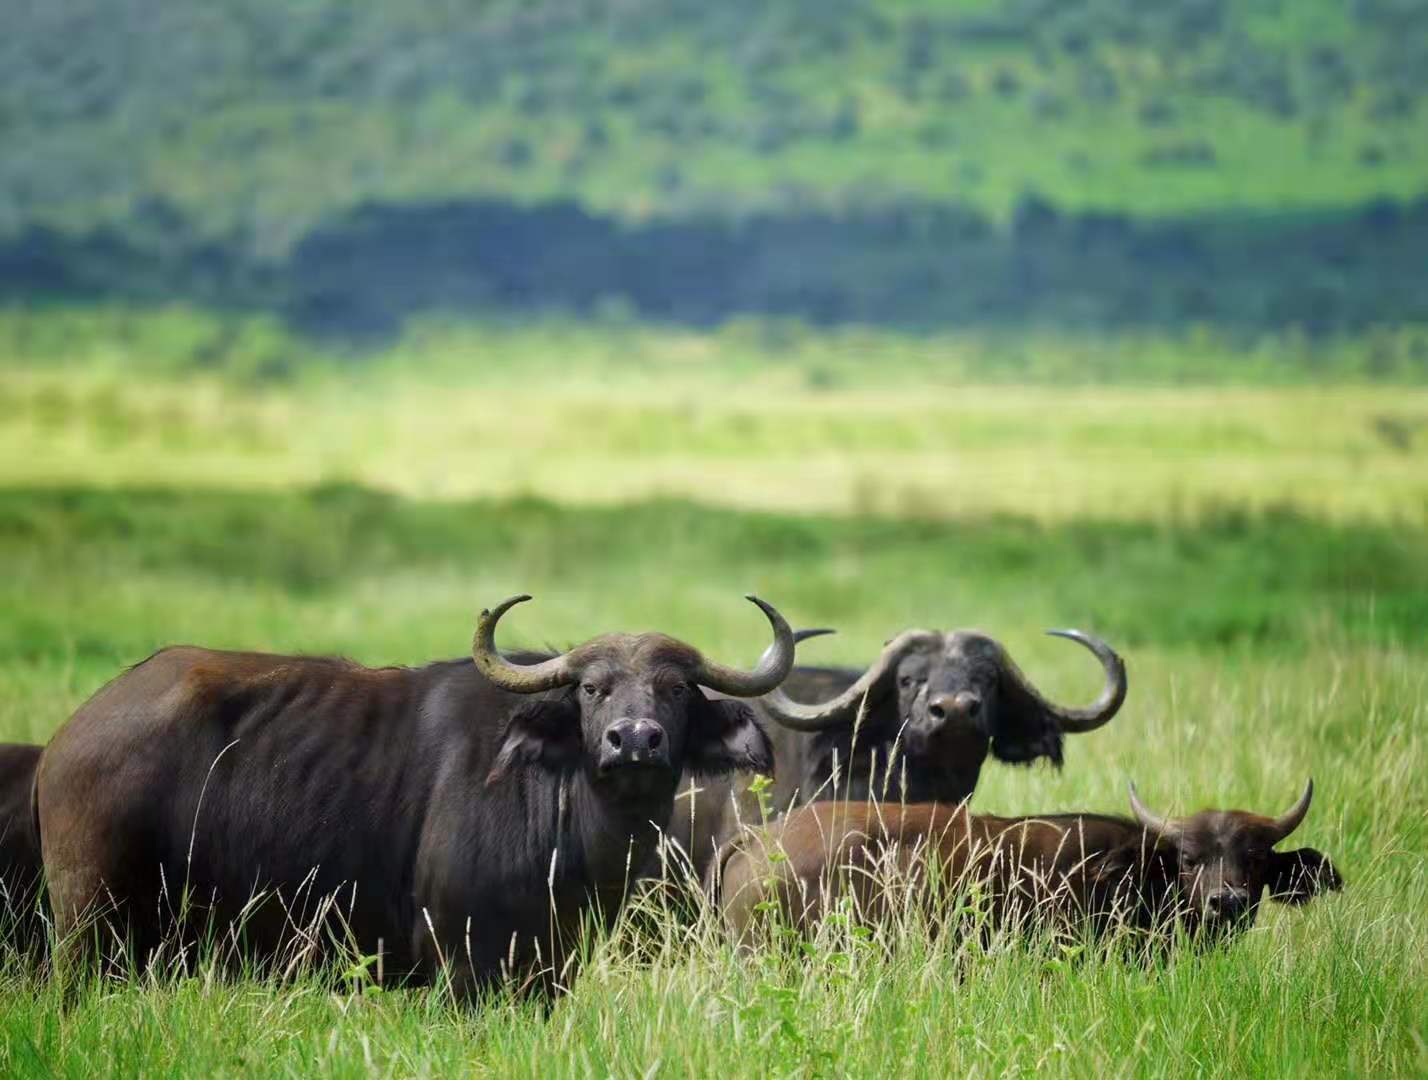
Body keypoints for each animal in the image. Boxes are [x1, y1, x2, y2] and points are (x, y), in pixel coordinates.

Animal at [36, 594, 793, 988]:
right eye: (590, 689)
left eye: (677, 690)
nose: (634, 741)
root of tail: (70, 738)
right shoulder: (460, 961)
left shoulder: (551, 966)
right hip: (90, 925)